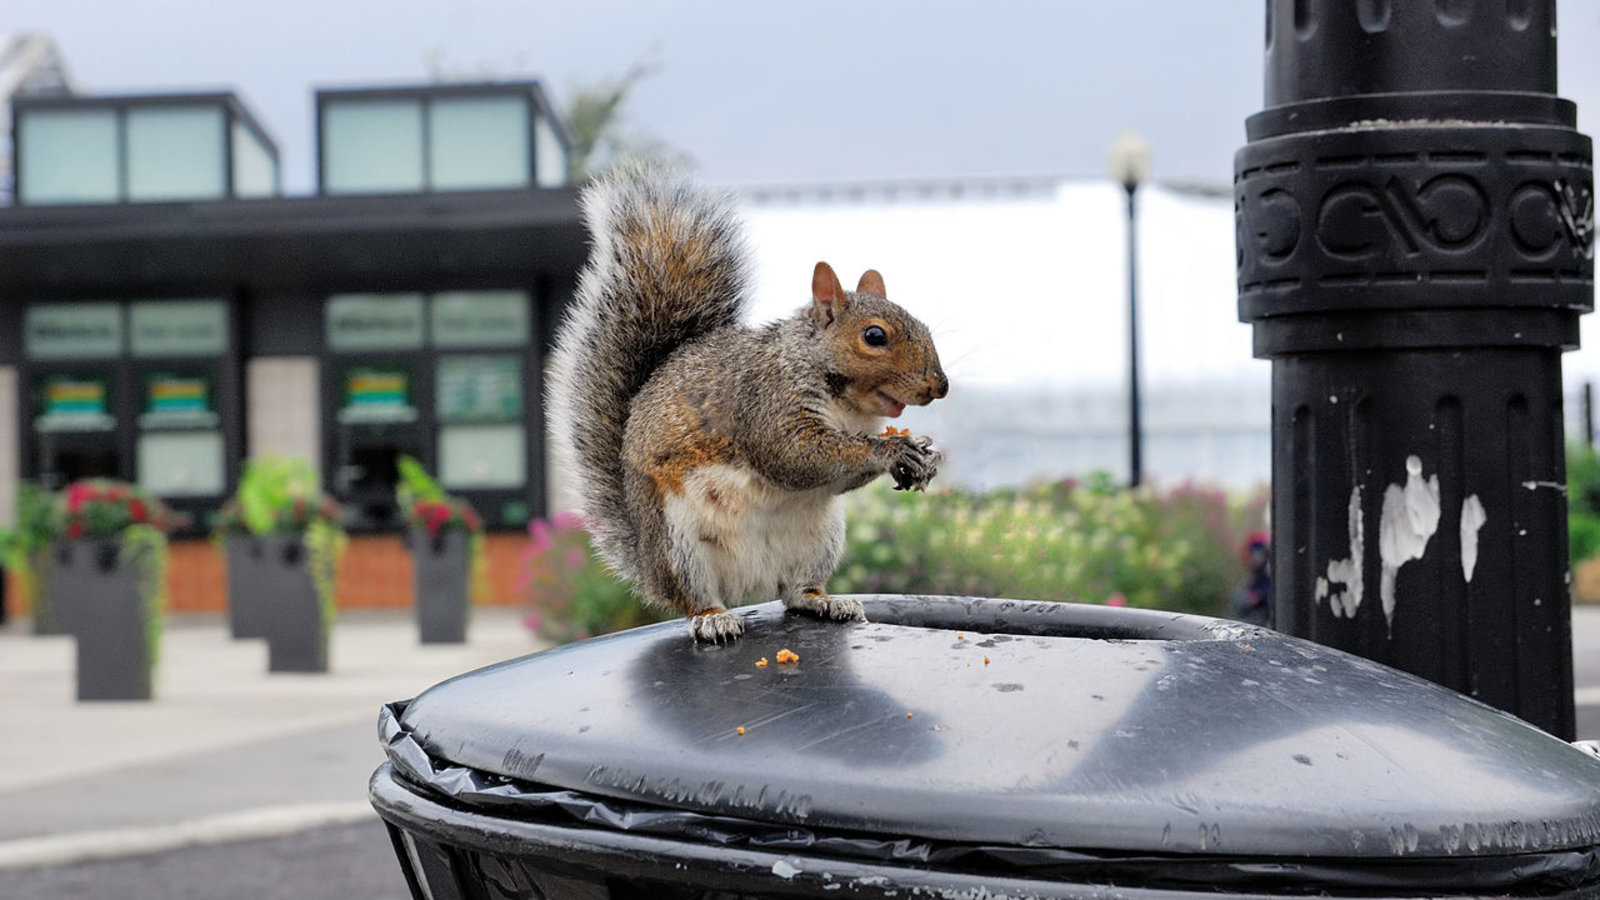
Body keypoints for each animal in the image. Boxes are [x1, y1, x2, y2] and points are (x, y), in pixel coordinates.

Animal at [550, 166, 947, 637]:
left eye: (922, 324)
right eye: (874, 336)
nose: (940, 386)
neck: (846, 404)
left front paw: (924, 455)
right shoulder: (765, 402)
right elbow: (794, 455)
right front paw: (893, 450)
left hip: (820, 541)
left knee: (795, 592)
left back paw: (825, 602)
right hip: (678, 545)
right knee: (695, 597)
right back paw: (714, 619)